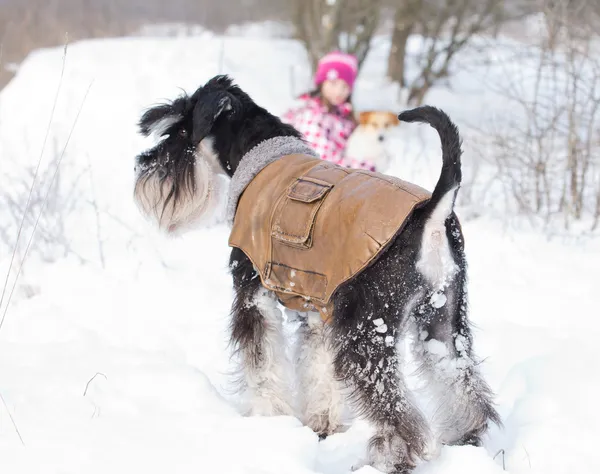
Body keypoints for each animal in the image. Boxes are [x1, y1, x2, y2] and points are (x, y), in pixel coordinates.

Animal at [132, 76, 502, 472]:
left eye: (181, 130)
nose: (144, 166)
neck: (257, 156)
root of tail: (433, 211)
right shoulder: (319, 308)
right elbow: (319, 368)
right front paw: (323, 424)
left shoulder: (253, 296)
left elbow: (261, 361)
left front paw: (267, 418)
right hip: (443, 320)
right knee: (461, 381)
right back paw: (466, 438)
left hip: (367, 332)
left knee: (396, 408)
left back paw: (391, 457)